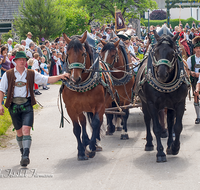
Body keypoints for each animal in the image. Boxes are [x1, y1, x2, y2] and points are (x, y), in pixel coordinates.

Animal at [63, 31, 114, 160]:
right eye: (67, 54)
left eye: (83, 53)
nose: (75, 78)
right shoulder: (71, 108)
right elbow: (77, 128)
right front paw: (81, 151)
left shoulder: (99, 105)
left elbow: (95, 123)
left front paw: (92, 147)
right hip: (81, 108)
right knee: (83, 122)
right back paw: (85, 140)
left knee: (97, 122)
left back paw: (95, 142)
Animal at [135, 29, 190, 162]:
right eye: (156, 51)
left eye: (172, 53)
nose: (161, 74)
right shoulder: (151, 104)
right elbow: (156, 128)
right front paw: (160, 153)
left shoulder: (180, 103)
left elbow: (177, 127)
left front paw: (175, 147)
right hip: (144, 103)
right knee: (147, 119)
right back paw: (149, 143)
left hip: (168, 106)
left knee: (170, 123)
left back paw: (169, 145)